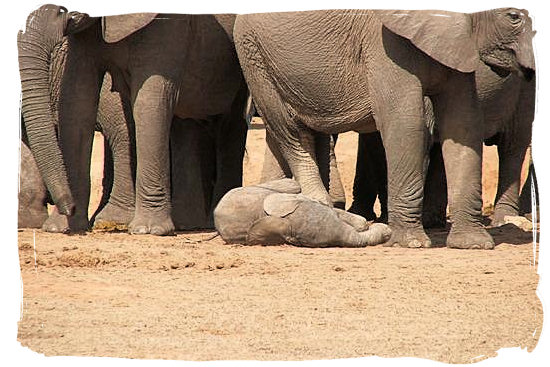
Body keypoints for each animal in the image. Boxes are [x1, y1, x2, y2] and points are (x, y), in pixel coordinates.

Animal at [18, 5, 248, 236]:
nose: (68, 206)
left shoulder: (168, 25)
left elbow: (149, 102)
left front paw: (149, 230)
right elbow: (77, 102)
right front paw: (60, 227)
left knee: (230, 126)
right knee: (185, 125)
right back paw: (186, 223)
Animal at [235, 8, 536, 250]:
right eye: (513, 17)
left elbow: (463, 124)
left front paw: (473, 245)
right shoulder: (383, 42)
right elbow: (405, 123)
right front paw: (411, 244)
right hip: (255, 55)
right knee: (290, 129)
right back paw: (320, 203)